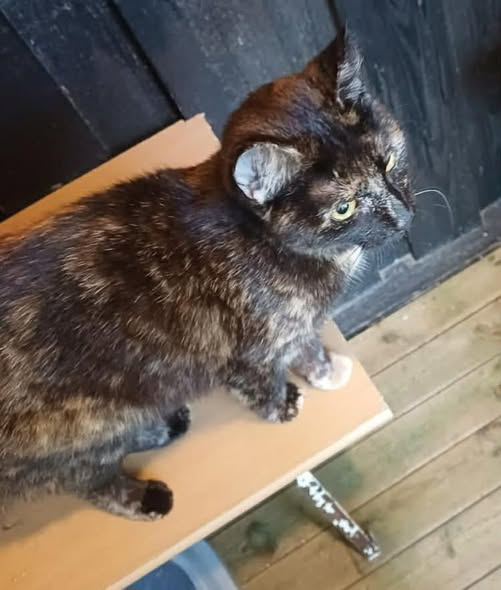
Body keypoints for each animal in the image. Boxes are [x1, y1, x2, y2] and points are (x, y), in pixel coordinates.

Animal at [0, 31, 413, 521]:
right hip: (83, 422)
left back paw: (164, 426)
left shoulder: (290, 324)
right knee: (84, 478)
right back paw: (144, 496)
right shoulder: (248, 351)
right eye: (344, 208)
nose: (405, 217)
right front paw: (282, 404)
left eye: (389, 163)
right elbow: (263, 380)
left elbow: (307, 344)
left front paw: (325, 371)